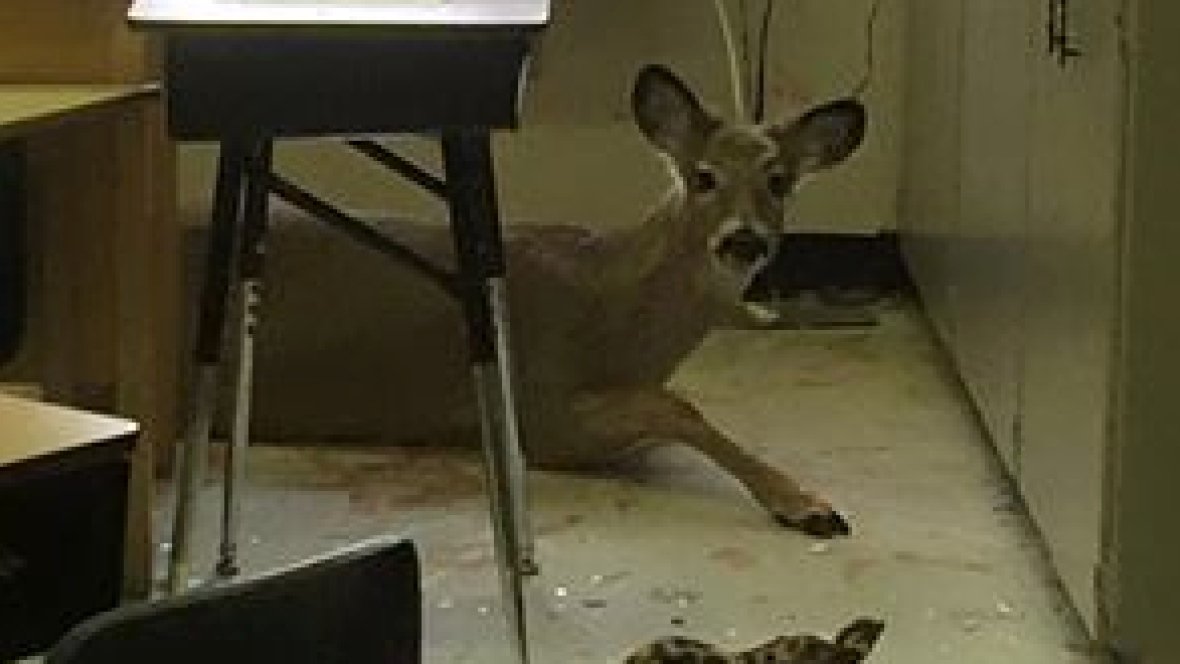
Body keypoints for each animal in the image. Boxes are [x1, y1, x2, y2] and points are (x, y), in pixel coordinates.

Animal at [256, 64, 867, 537]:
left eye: (779, 180)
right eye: (703, 176)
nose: (744, 240)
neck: (618, 312)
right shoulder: (539, 407)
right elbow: (674, 406)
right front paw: (806, 504)